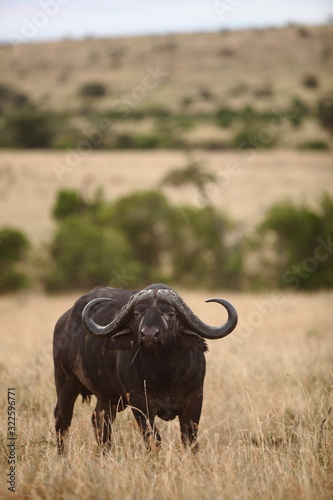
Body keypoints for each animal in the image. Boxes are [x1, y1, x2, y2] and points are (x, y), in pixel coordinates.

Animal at [53, 286, 237, 454]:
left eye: (170, 313)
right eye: (137, 313)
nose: (149, 334)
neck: (165, 373)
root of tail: (63, 322)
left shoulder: (195, 399)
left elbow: (189, 439)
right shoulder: (140, 403)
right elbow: (153, 439)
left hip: (109, 398)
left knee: (100, 420)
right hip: (65, 381)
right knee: (62, 420)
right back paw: (63, 457)